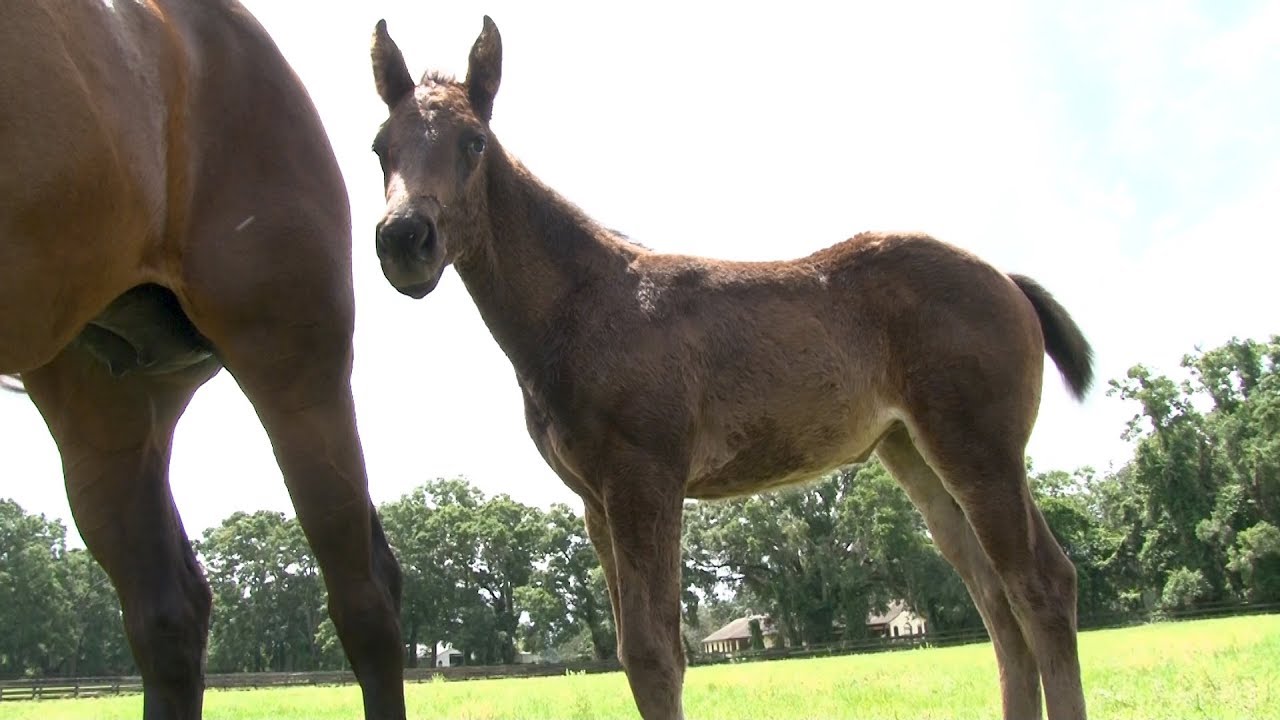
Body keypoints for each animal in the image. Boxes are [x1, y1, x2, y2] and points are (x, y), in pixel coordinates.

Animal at [369, 17, 1092, 720]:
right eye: (381, 147)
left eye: (473, 143)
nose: (405, 240)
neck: (584, 303)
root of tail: (1008, 280)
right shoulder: (596, 501)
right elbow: (633, 654)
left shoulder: (646, 477)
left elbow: (655, 654)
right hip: (913, 451)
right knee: (995, 599)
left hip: (980, 446)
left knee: (1040, 584)